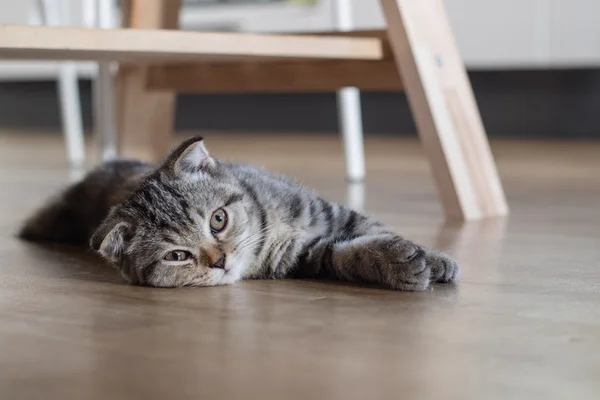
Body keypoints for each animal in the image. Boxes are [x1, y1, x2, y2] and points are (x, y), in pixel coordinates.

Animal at [18, 136, 460, 290]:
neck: (268, 224)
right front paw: (401, 264)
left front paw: (434, 258)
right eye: (177, 255)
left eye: (218, 219)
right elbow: (346, 255)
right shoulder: (304, 257)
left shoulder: (329, 211)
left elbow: (372, 226)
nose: (220, 261)